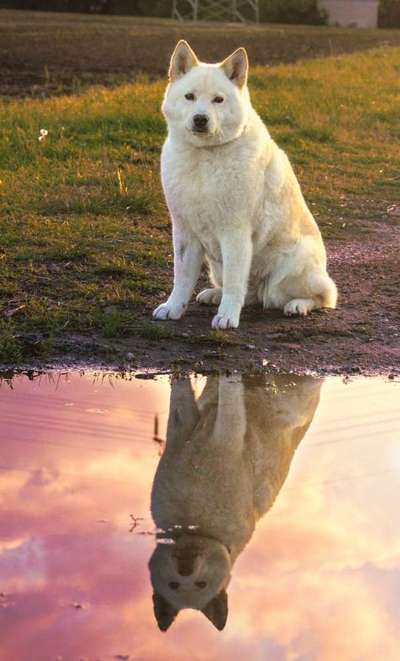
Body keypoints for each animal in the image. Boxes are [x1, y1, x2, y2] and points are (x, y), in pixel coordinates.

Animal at [153, 40, 338, 328]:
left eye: (218, 100)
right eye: (189, 97)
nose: (200, 119)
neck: (204, 156)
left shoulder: (235, 233)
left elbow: (234, 282)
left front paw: (227, 317)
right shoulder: (184, 230)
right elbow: (182, 277)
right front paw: (173, 307)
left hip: (286, 275)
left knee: (323, 295)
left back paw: (297, 305)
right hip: (216, 265)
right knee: (248, 293)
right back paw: (214, 294)